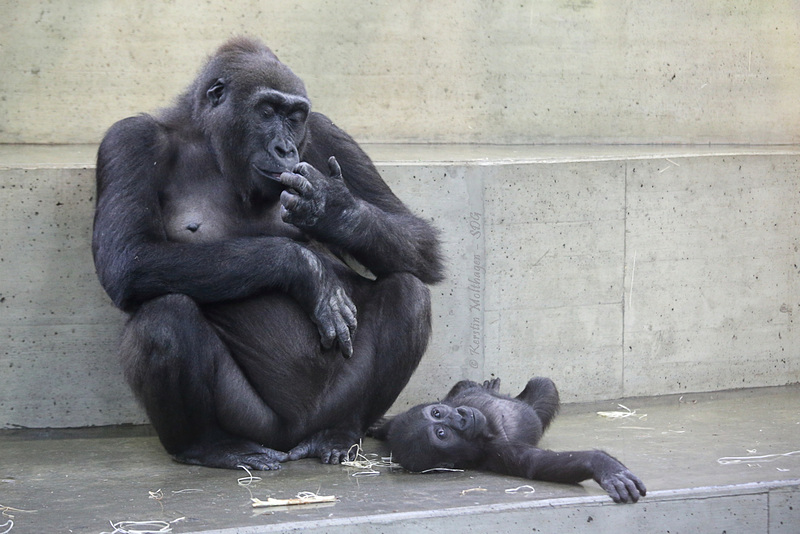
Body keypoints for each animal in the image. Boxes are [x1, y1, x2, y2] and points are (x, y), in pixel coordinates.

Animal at [95, 37, 444, 472]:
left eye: (294, 117)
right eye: (266, 111)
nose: (286, 147)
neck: (207, 140)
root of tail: (294, 439)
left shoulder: (326, 131)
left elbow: (419, 241)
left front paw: (335, 210)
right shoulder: (129, 141)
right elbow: (129, 258)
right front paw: (305, 270)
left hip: (332, 407)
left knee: (409, 292)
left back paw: (339, 432)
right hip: (255, 423)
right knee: (163, 317)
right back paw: (210, 445)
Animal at [372, 376, 648, 506]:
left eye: (437, 414)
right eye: (441, 434)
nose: (460, 418)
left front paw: (378, 427)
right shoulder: (501, 453)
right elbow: (537, 464)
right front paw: (603, 465)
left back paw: (489, 386)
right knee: (544, 388)